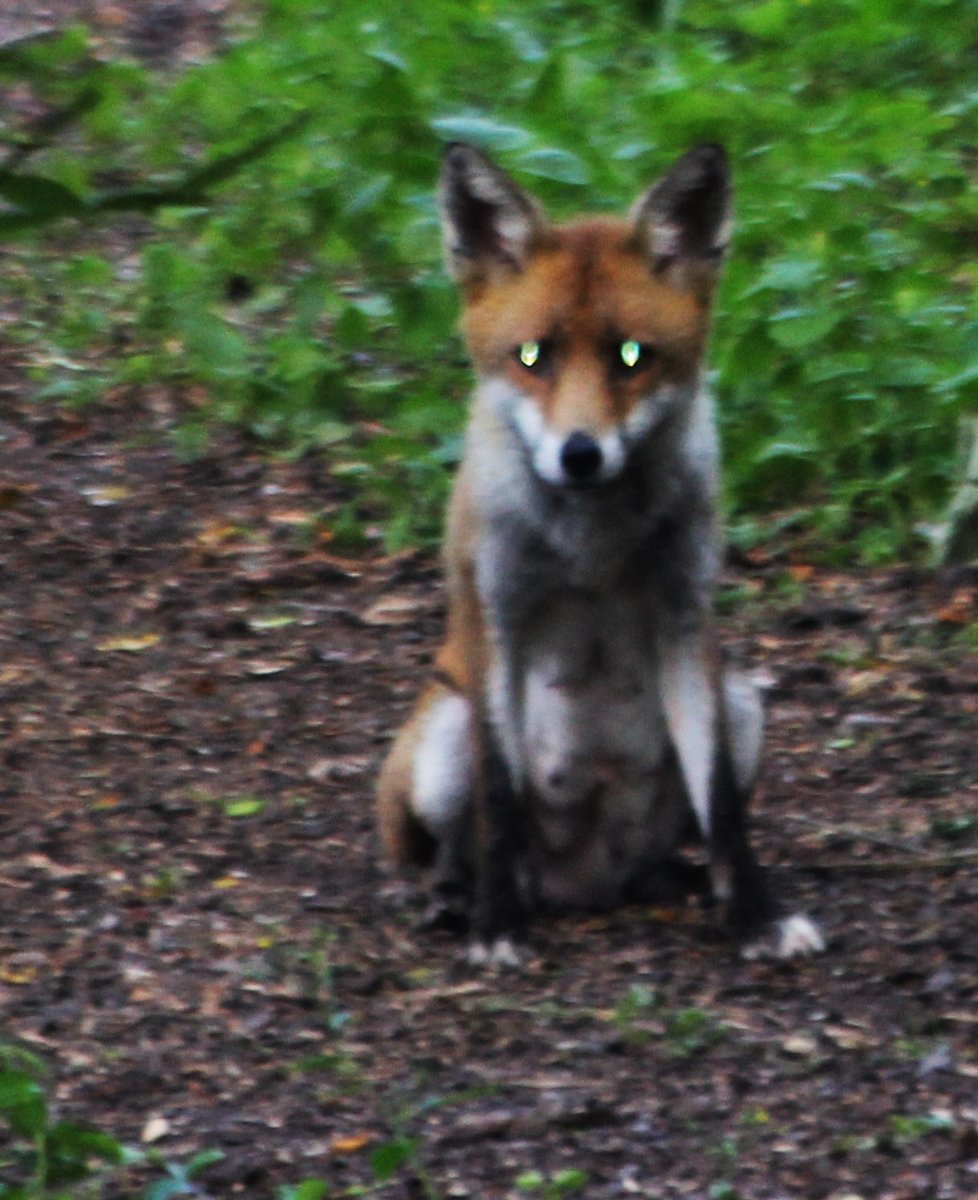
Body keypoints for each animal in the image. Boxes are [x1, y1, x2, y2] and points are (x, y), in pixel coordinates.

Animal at [376, 140, 825, 964]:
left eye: (631, 356)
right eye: (531, 357)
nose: (580, 455)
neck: (590, 546)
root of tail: (582, 889)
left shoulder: (686, 617)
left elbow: (722, 805)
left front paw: (756, 914)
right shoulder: (497, 615)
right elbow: (500, 799)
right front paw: (496, 927)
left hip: (744, 701)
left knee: (674, 842)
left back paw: (678, 883)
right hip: (441, 742)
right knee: (454, 848)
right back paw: (461, 899)